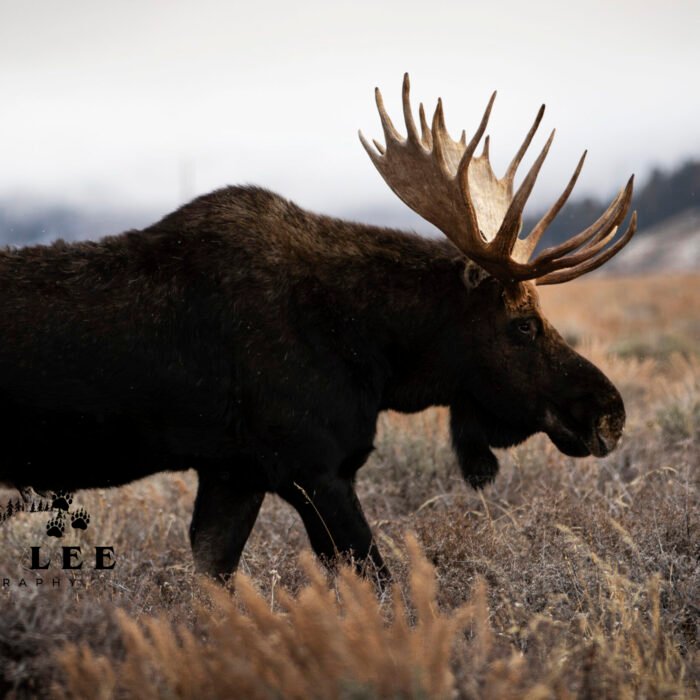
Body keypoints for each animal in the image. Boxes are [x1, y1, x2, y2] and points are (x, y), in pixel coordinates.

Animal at [0, 75, 635, 580]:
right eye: (523, 325)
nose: (610, 413)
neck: (374, 354)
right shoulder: (313, 468)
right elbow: (379, 584)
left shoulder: (234, 472)